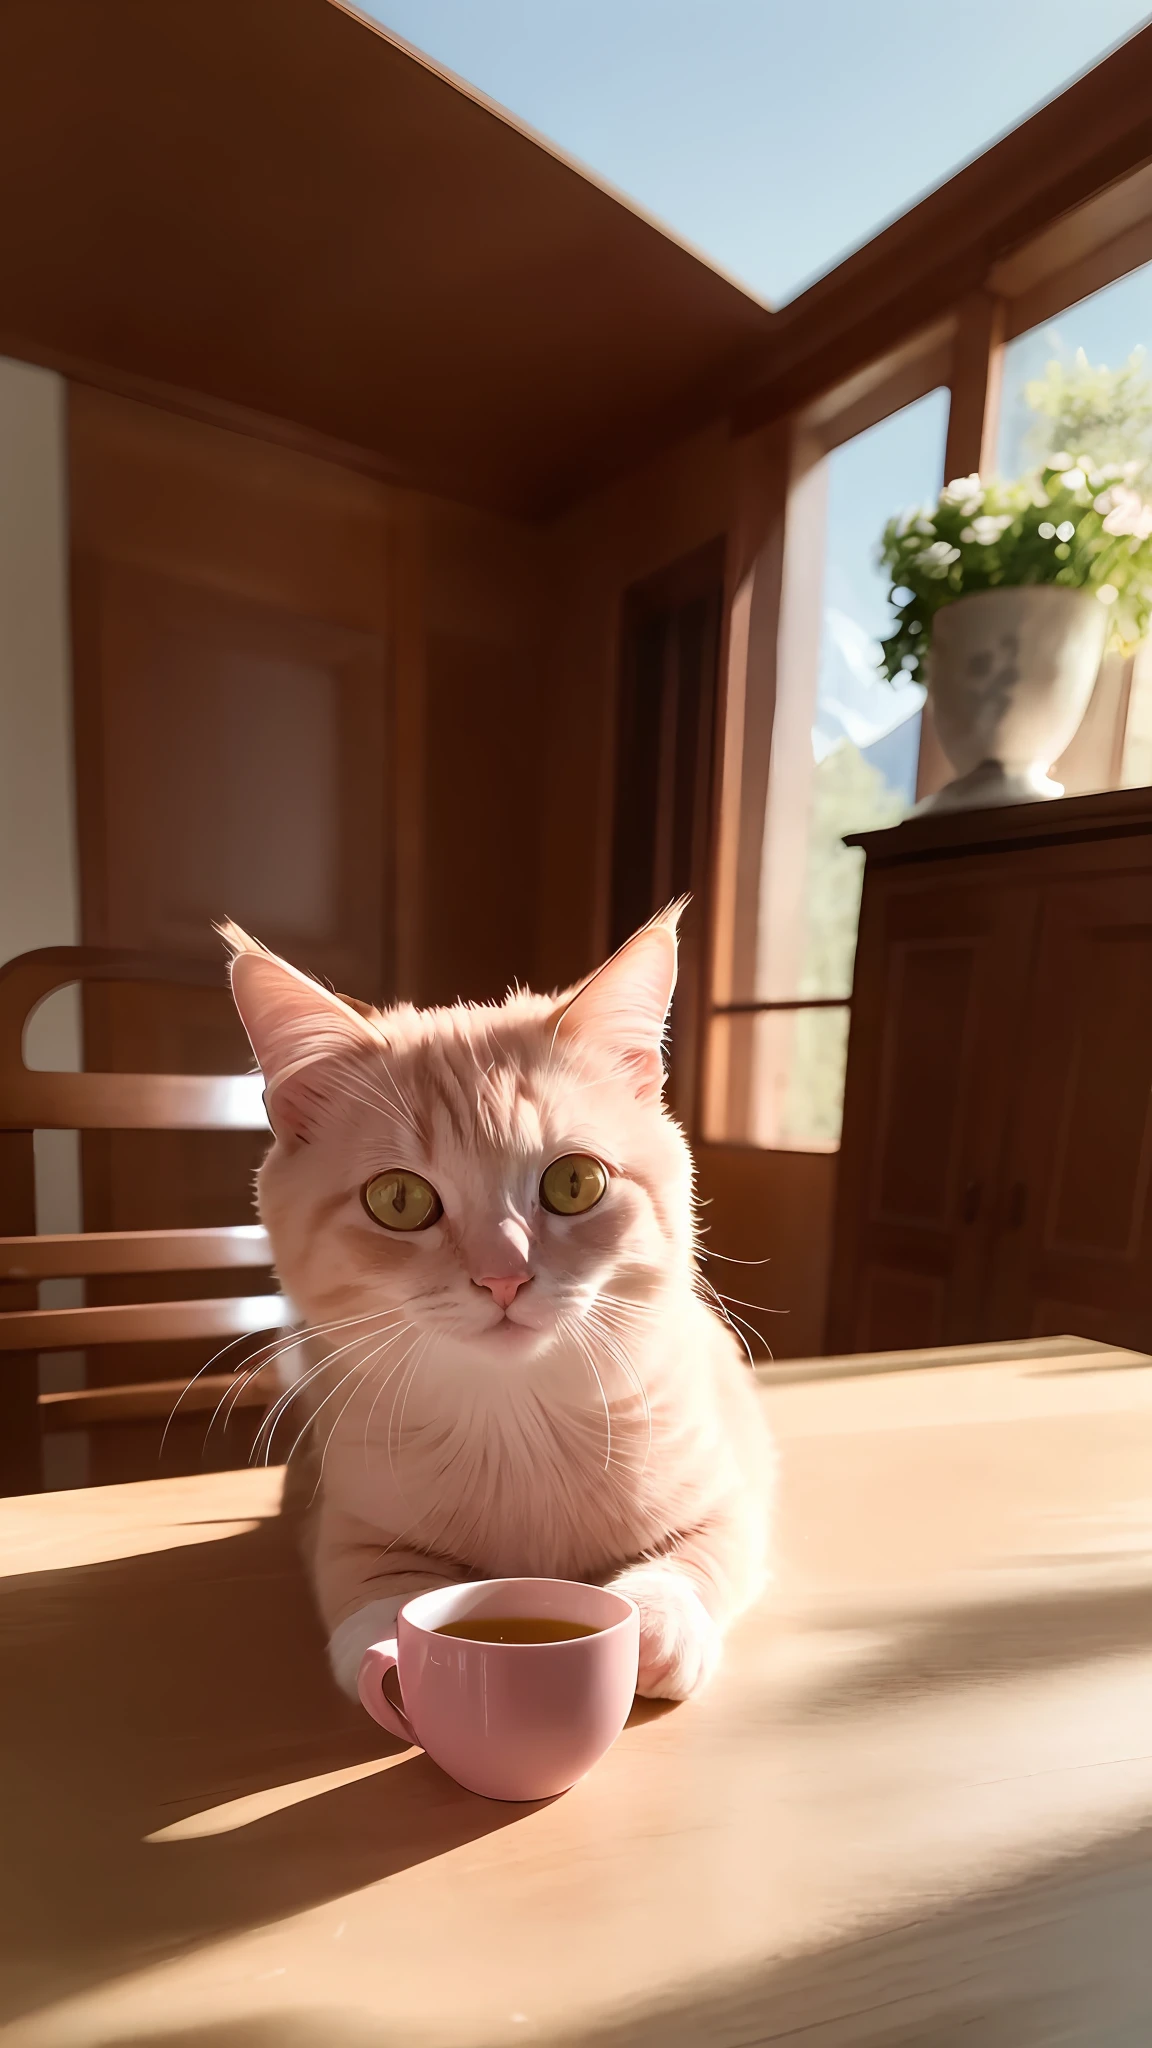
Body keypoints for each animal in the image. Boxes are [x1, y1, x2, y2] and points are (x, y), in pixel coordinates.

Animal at [224, 921, 770, 1703]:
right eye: (398, 1200)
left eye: (574, 1183)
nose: (504, 1275)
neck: (515, 1426)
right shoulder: (343, 1518)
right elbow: (369, 1581)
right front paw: (391, 1643)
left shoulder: (729, 1493)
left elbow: (702, 1551)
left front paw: (656, 1621)